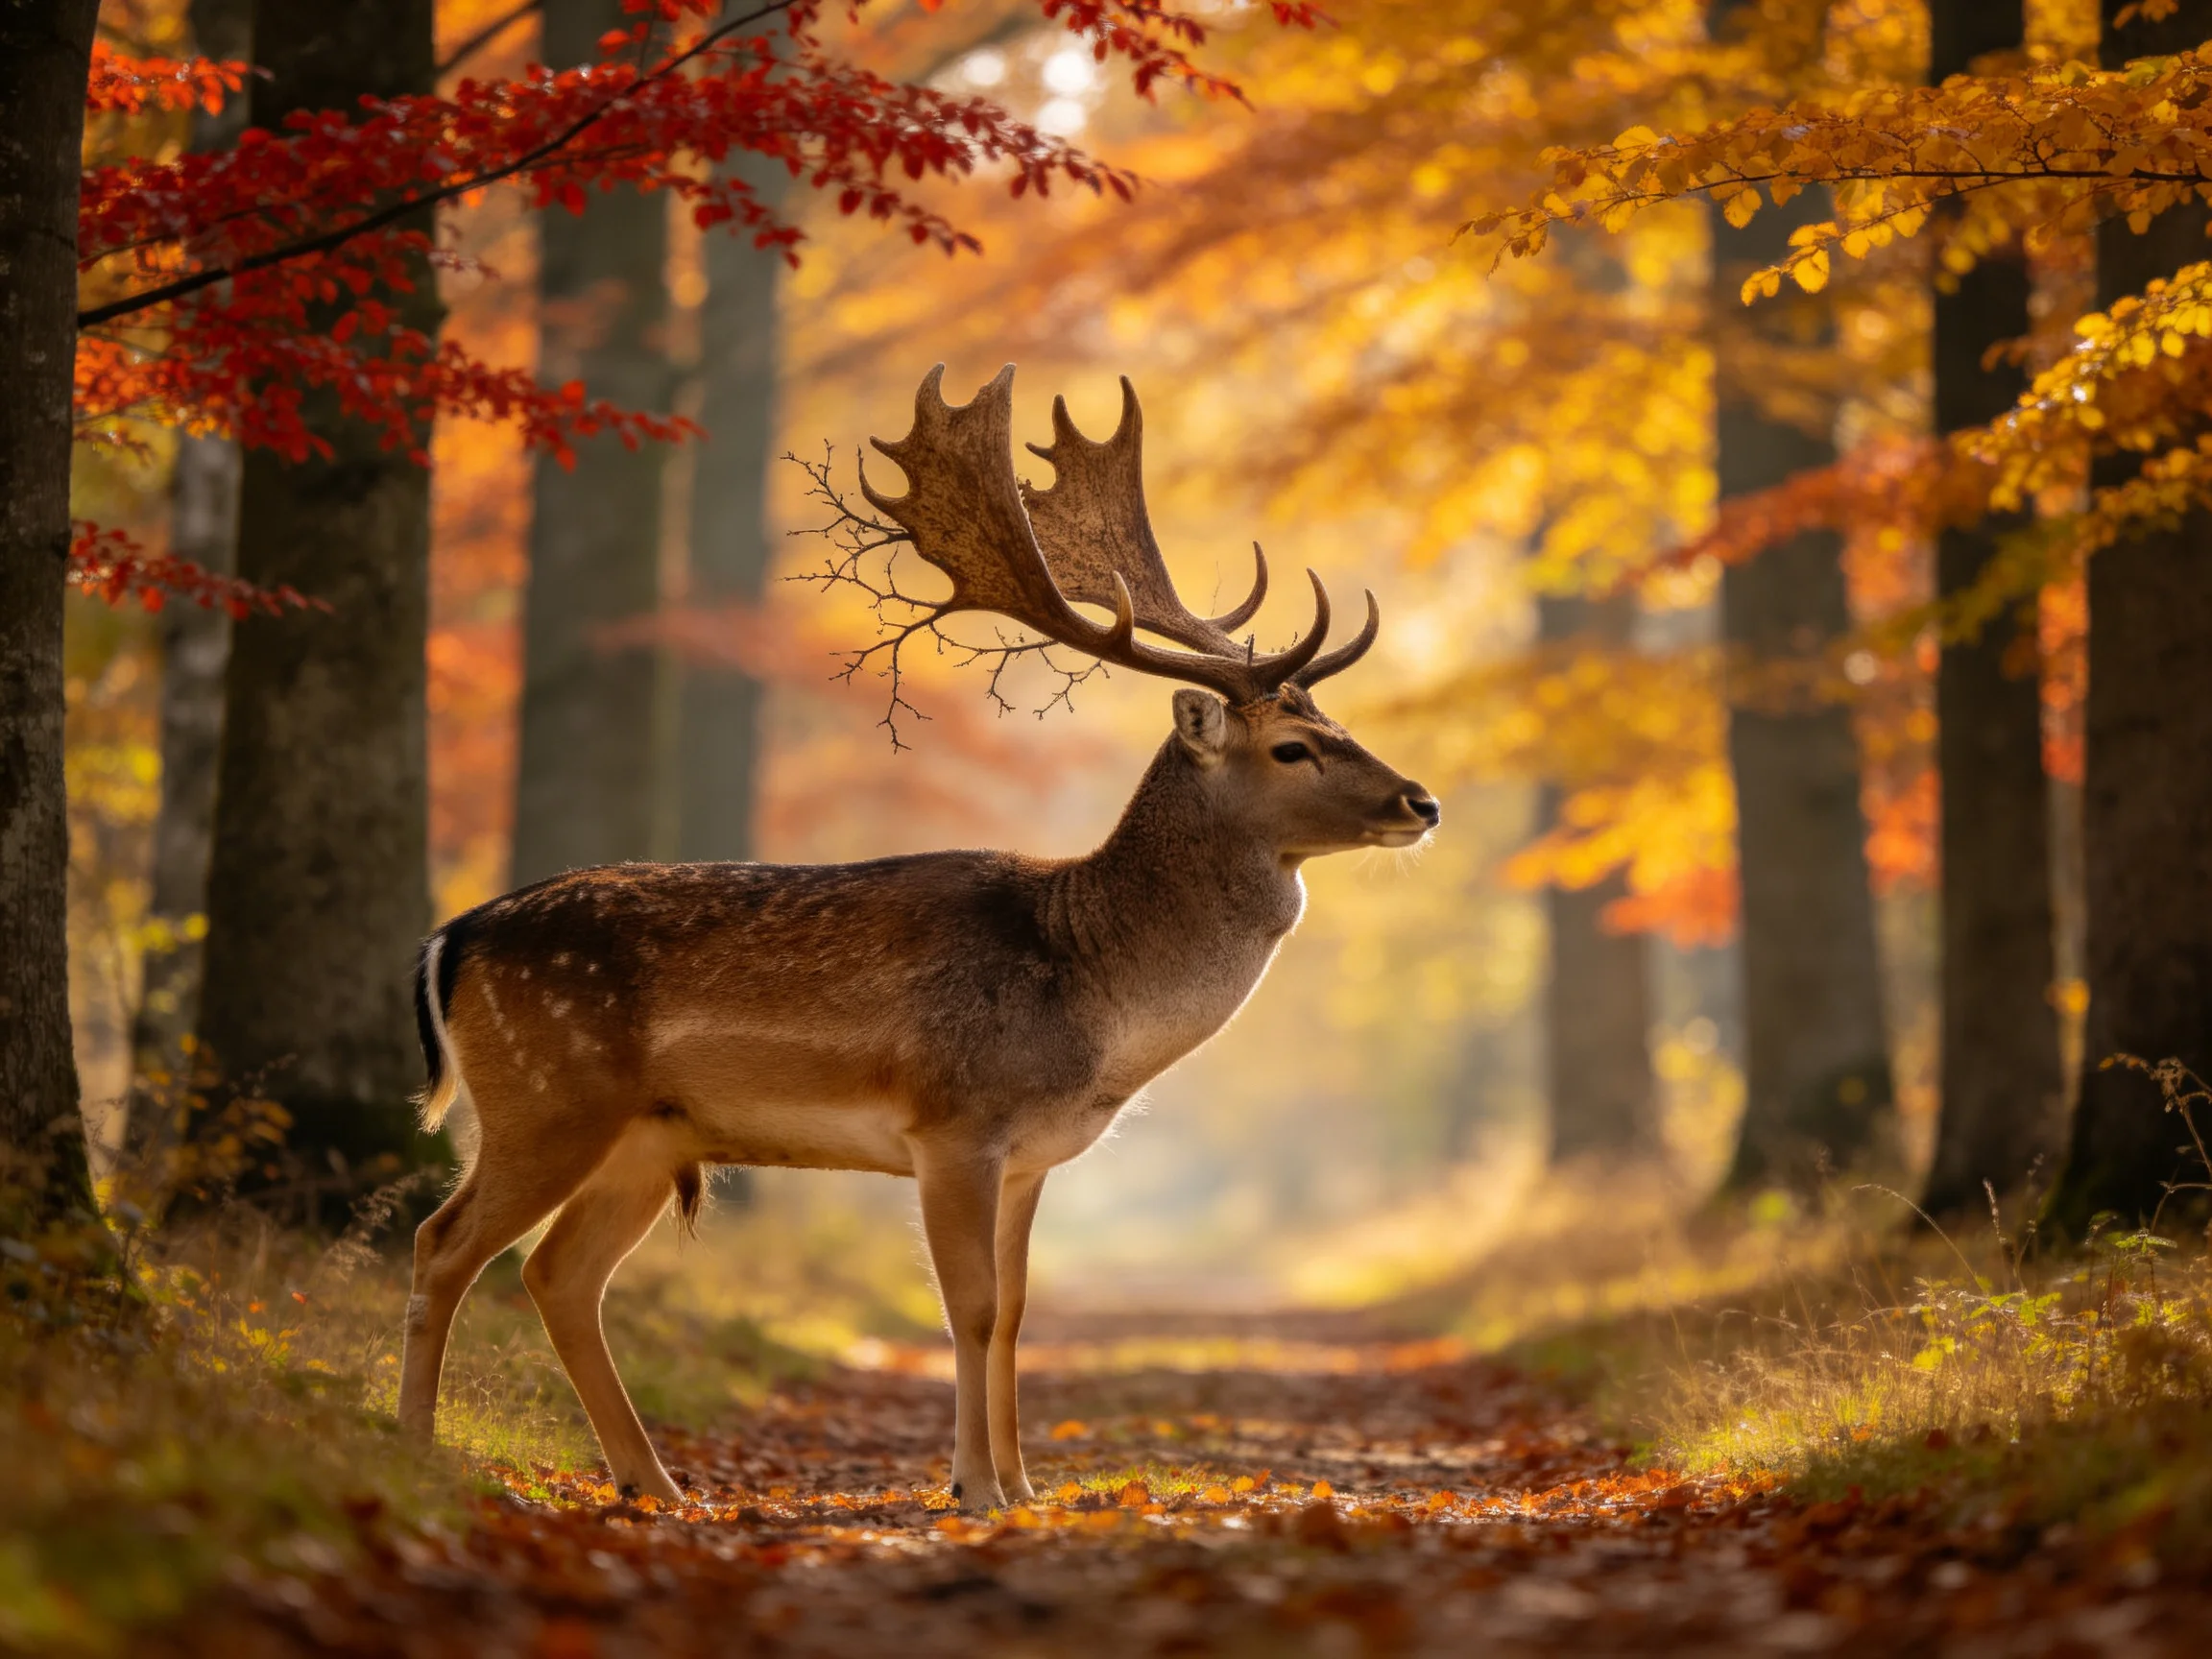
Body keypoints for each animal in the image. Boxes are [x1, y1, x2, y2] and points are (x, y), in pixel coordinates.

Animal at [396, 364, 1439, 1510]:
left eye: (1341, 728)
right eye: (1295, 746)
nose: (1422, 801)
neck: (1090, 997)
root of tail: (449, 939)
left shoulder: (1031, 1157)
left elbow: (1017, 1315)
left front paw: (1019, 1486)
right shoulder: (953, 1124)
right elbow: (970, 1309)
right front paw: (976, 1488)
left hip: (645, 1134)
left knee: (559, 1274)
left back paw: (655, 1484)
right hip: (548, 1096)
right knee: (443, 1244)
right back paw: (419, 1450)